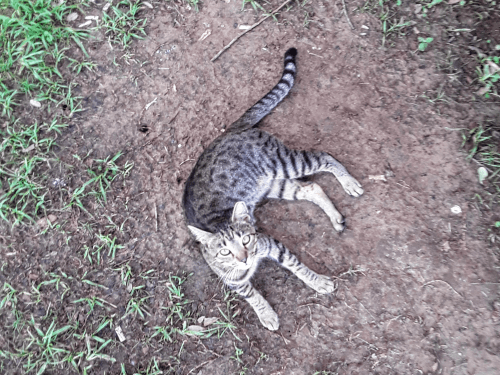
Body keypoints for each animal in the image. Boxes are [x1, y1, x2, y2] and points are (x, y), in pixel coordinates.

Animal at [182, 47, 362, 332]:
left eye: (245, 240)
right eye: (224, 251)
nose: (245, 258)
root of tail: (231, 131)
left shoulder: (273, 244)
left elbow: (299, 267)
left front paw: (318, 281)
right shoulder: (232, 281)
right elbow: (252, 294)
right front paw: (266, 314)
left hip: (284, 163)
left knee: (325, 157)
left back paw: (349, 182)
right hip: (274, 184)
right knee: (312, 187)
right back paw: (335, 217)